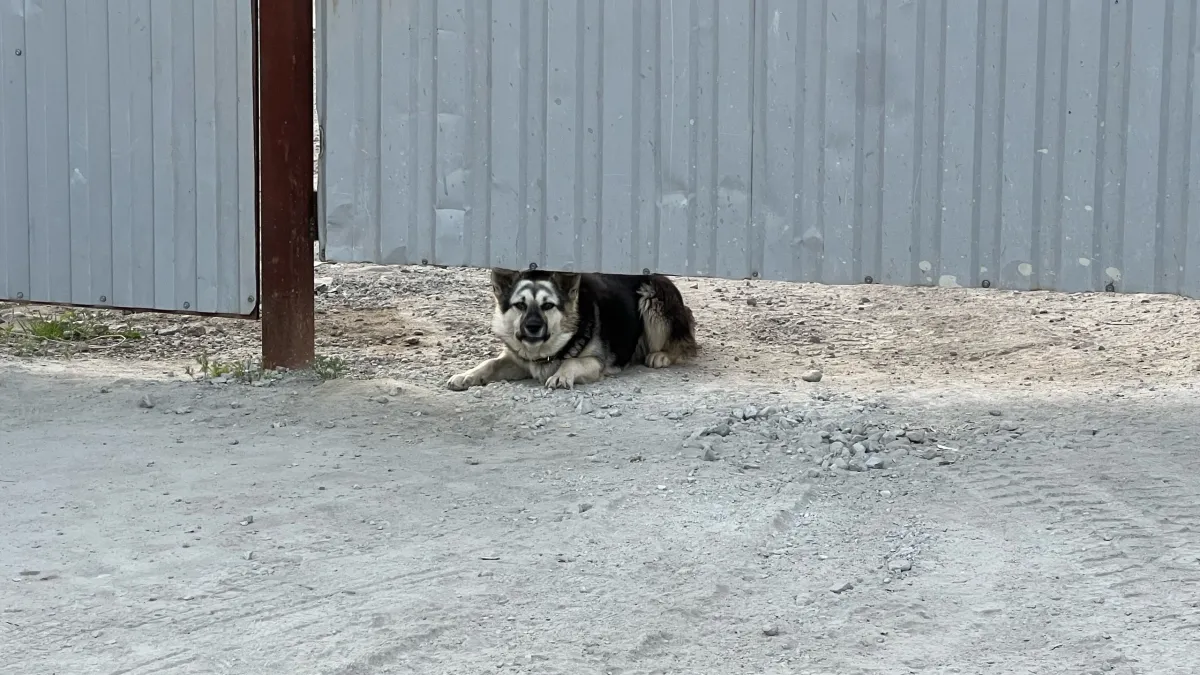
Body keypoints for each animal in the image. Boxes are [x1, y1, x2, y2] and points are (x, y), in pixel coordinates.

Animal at [448, 267, 696, 389]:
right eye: (520, 305)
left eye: (548, 305)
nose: (532, 327)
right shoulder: (517, 361)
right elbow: (490, 363)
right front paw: (466, 376)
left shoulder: (596, 362)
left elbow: (572, 361)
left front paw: (561, 376)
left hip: (650, 297)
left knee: (684, 344)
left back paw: (661, 355)